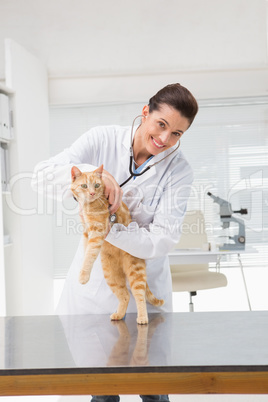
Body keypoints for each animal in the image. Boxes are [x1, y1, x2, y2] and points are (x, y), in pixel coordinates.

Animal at [70, 165, 164, 326]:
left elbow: (89, 255)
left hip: (135, 272)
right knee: (125, 295)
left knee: (139, 296)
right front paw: (83, 269)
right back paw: (119, 315)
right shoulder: (86, 233)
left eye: (97, 185)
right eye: (84, 186)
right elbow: (85, 250)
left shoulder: (97, 234)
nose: (92, 193)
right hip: (111, 275)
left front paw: (83, 275)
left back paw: (143, 318)